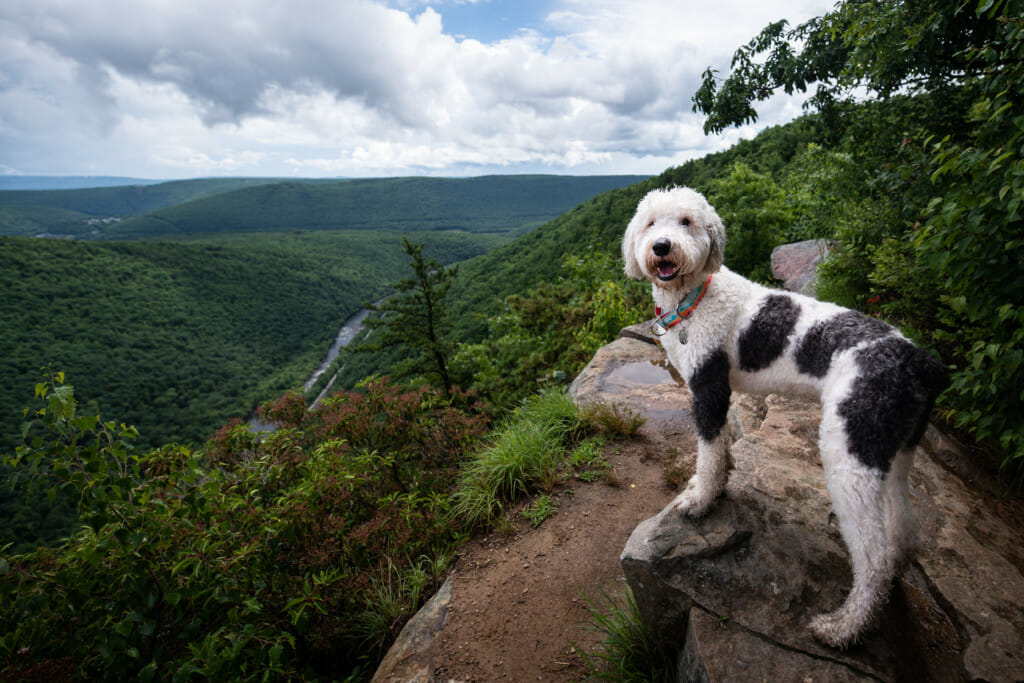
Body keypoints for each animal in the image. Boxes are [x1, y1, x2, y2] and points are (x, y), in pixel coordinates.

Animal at [622, 185, 950, 647]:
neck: (696, 296)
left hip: (848, 453)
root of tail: (919, 360)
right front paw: (718, 485)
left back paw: (843, 627)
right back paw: (896, 570)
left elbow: (708, 452)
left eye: (686, 221)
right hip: (894, 444)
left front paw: (700, 500)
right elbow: (722, 449)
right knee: (902, 523)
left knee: (872, 558)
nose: (662, 247)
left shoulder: (709, 389)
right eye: (651, 223)